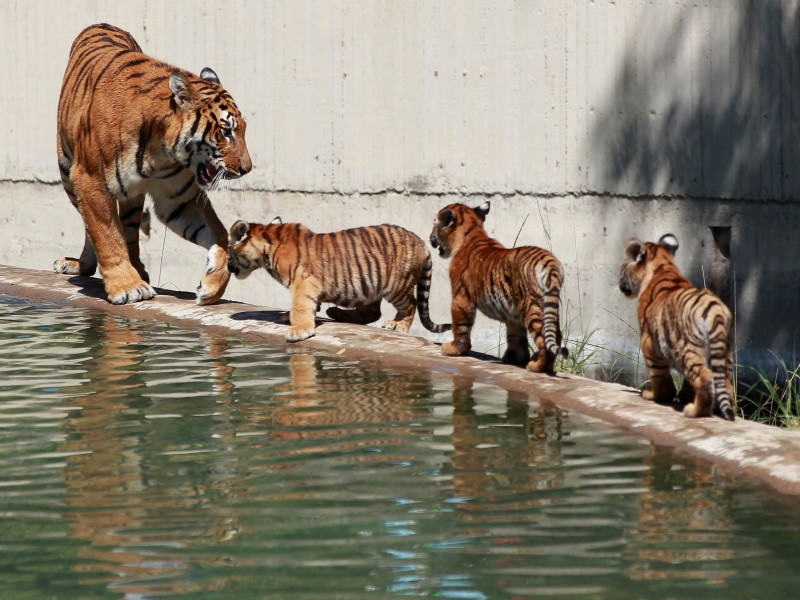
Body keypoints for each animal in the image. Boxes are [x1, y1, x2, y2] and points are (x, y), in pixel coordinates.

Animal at [54, 23, 250, 304]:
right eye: (226, 131)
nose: (247, 168)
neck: (160, 154)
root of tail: (101, 24)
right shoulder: (90, 180)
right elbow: (106, 235)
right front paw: (126, 287)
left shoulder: (179, 199)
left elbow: (220, 234)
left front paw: (211, 287)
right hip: (68, 175)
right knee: (91, 224)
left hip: (131, 199)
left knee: (129, 231)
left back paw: (137, 268)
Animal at [227, 217, 450, 340]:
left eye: (229, 251)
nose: (228, 267)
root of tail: (421, 242)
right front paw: (289, 316)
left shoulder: (304, 283)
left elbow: (300, 306)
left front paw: (298, 331)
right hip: (368, 286)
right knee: (372, 313)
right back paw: (336, 312)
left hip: (396, 286)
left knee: (410, 304)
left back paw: (398, 325)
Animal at [432, 199, 568, 372]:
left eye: (434, 223)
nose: (430, 238)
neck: (472, 231)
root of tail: (549, 261)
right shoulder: (513, 314)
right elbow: (515, 334)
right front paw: (514, 358)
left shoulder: (460, 296)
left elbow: (460, 325)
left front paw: (453, 349)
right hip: (549, 306)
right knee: (556, 335)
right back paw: (545, 365)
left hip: (532, 305)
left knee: (544, 337)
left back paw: (536, 366)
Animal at [620, 232, 736, 420]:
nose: (620, 285)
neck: (663, 265)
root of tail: (716, 310)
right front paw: (683, 395)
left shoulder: (648, 343)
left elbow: (659, 375)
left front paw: (654, 395)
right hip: (724, 353)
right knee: (726, 383)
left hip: (686, 350)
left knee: (704, 377)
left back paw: (695, 411)